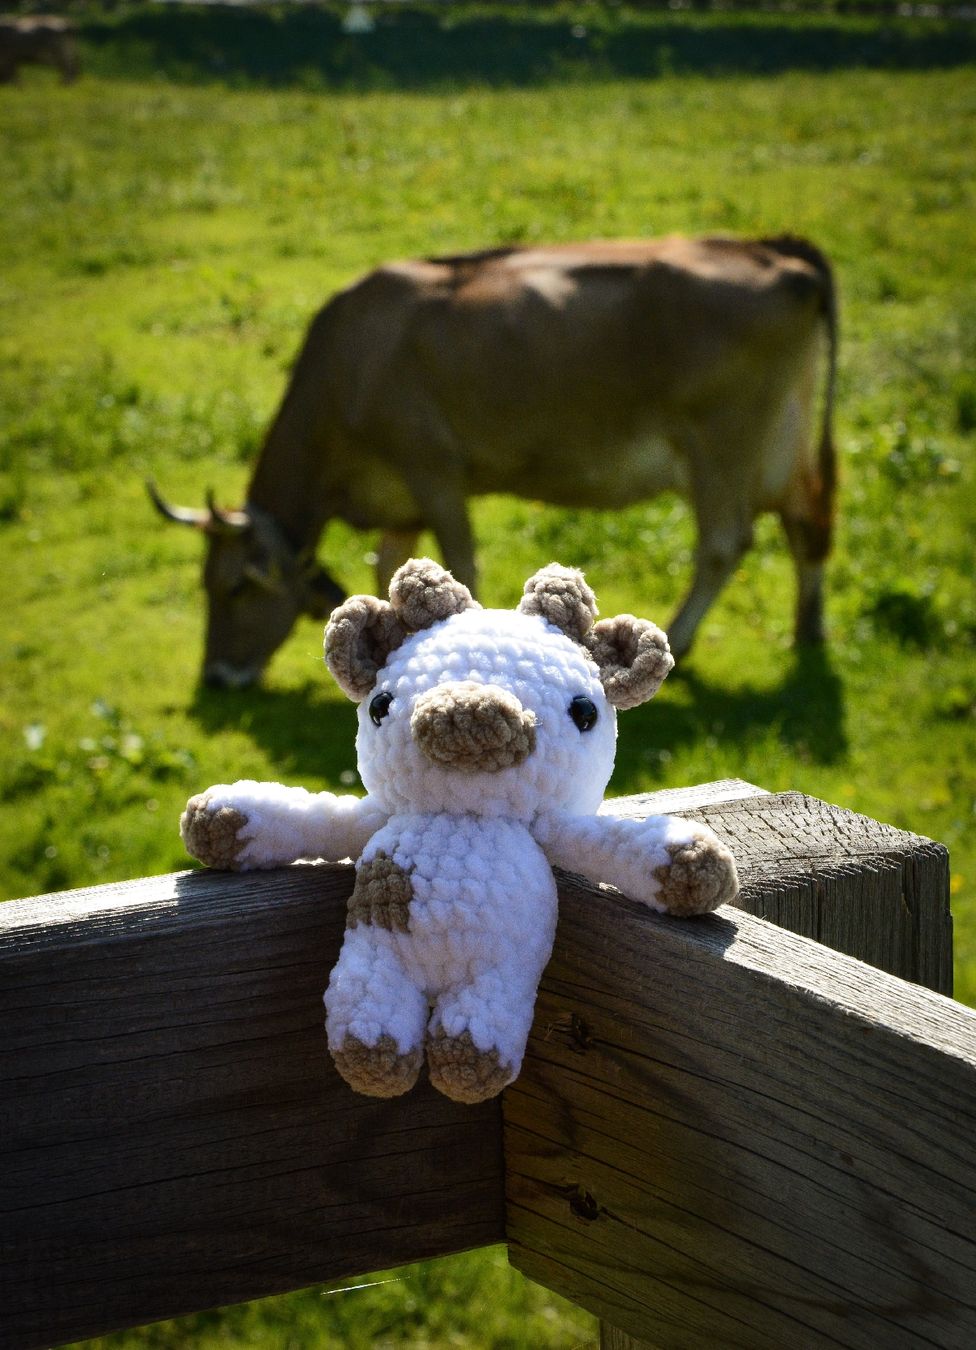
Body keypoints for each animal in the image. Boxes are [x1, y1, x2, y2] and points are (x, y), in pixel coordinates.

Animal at [151, 234, 837, 688]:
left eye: (236, 587)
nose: (214, 677)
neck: (351, 360)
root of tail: (777, 252)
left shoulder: (434, 471)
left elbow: (462, 563)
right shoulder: (400, 503)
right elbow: (390, 570)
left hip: (722, 442)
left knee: (724, 543)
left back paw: (684, 638)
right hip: (783, 444)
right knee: (808, 524)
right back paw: (807, 630)